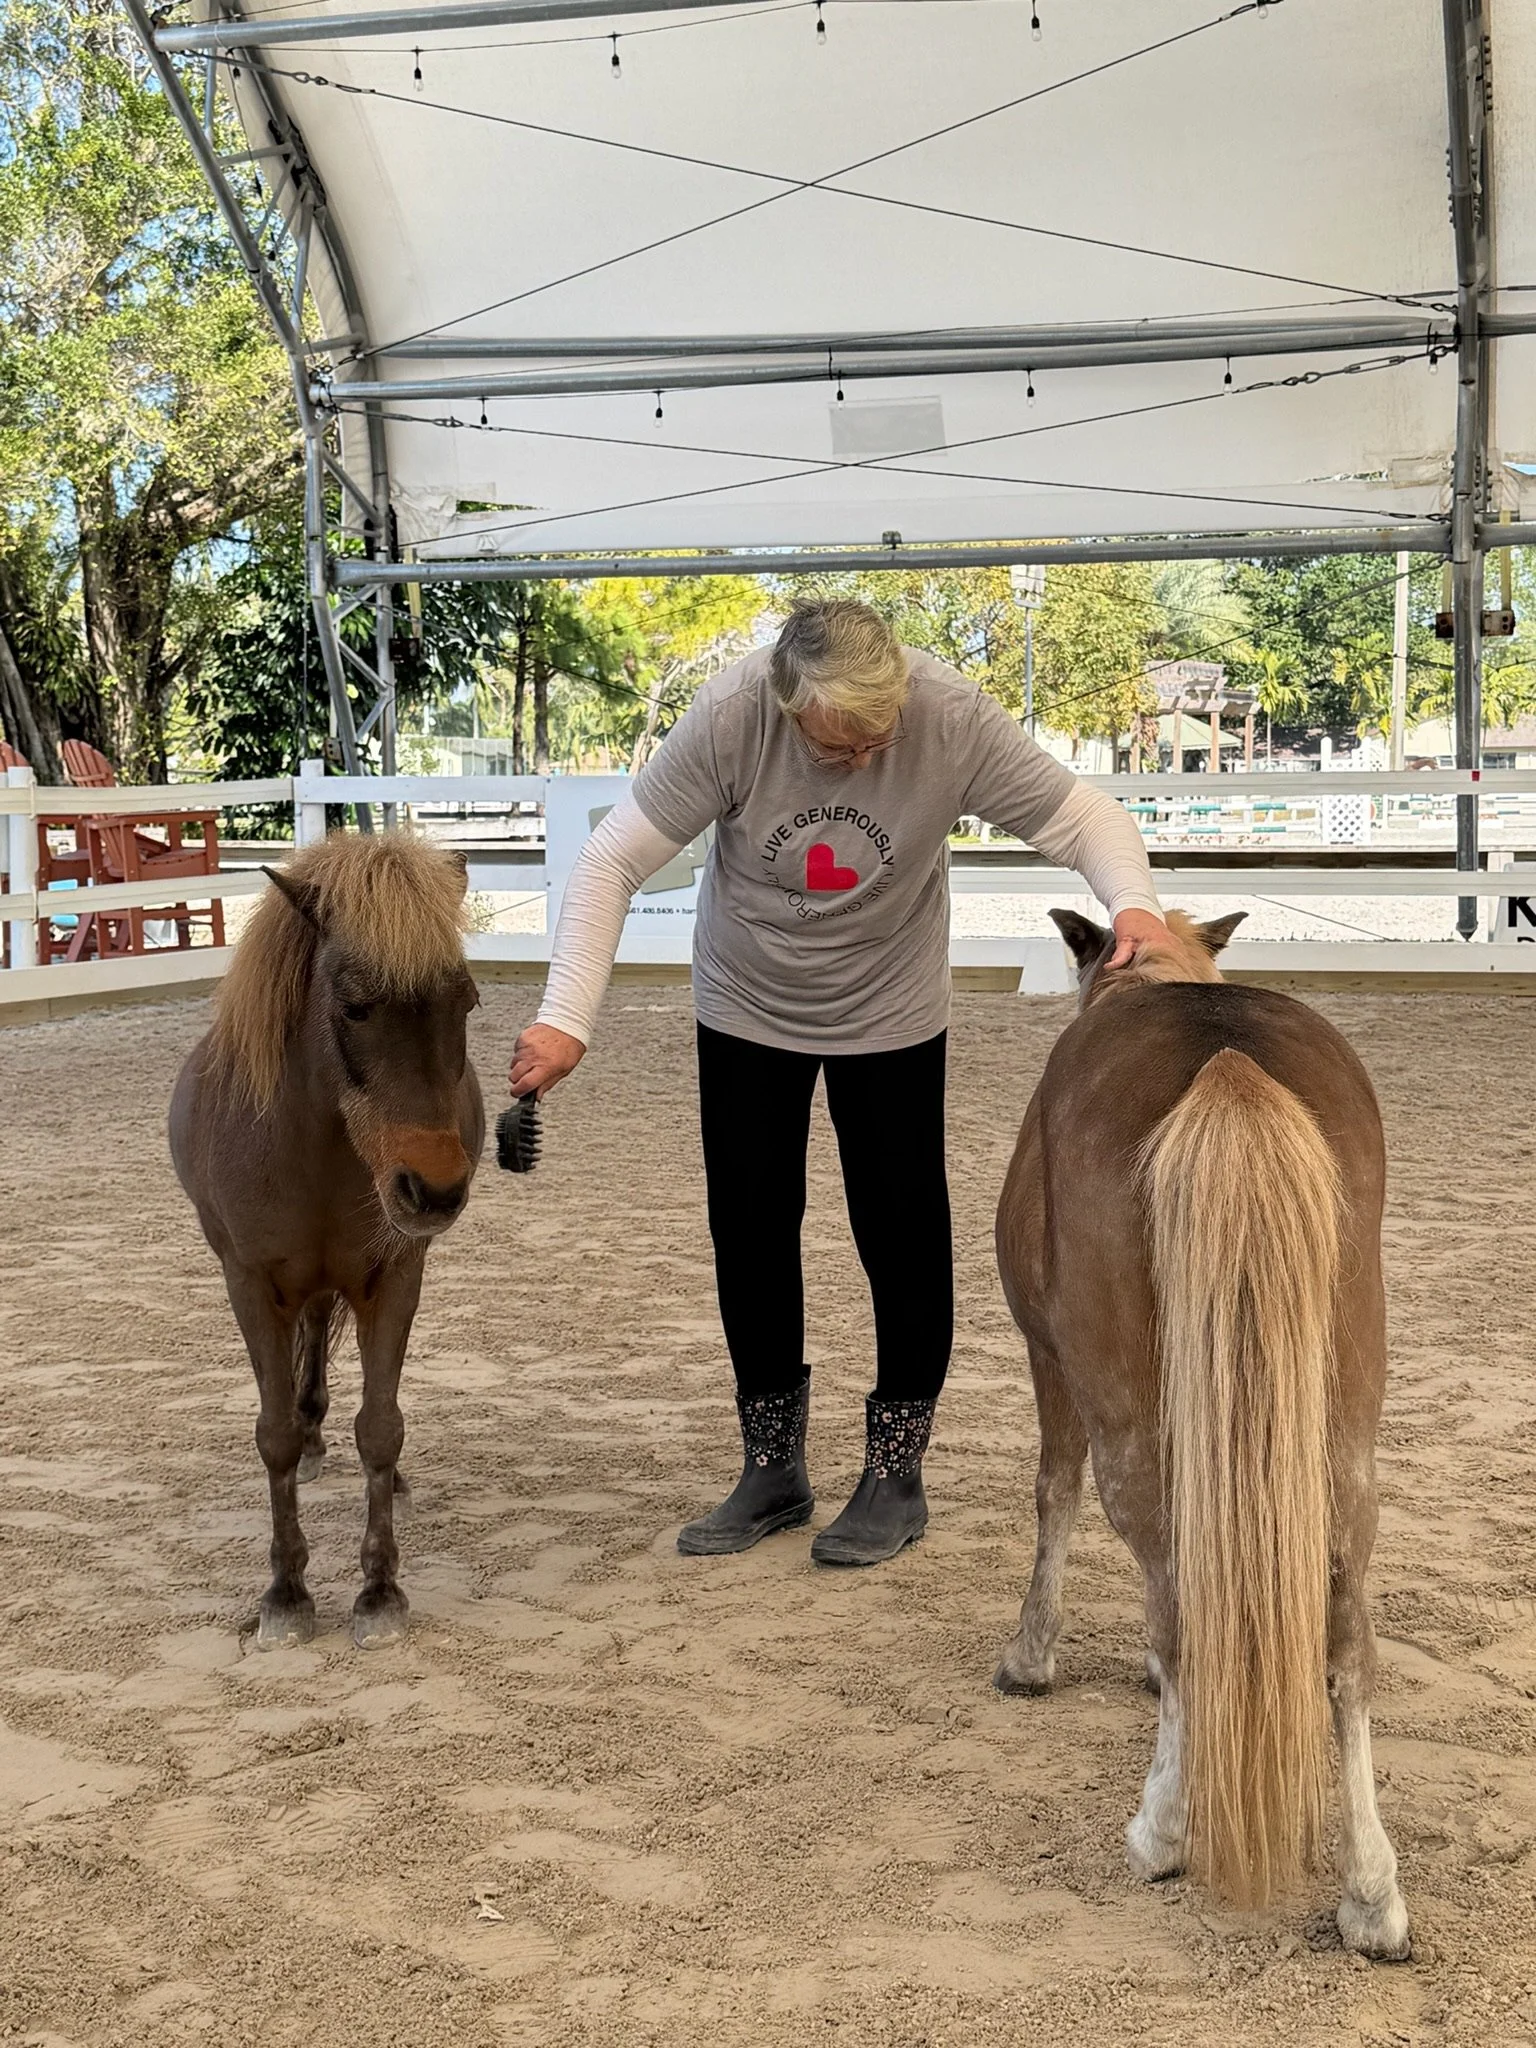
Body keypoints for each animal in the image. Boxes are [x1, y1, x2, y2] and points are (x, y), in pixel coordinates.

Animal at [170, 831, 485, 1650]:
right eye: (355, 1006)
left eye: (466, 1001)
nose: (435, 1190)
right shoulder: (249, 1284)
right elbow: (275, 1434)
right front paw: (285, 1594)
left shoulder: (395, 1276)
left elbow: (381, 1427)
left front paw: (379, 1591)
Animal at [993, 908, 1408, 1958]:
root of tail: (1227, 1064)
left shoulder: (1049, 1358)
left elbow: (1052, 1496)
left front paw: (1030, 1657)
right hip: (1344, 1440)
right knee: (1345, 1644)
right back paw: (1372, 1896)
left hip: (1132, 1424)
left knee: (1178, 1600)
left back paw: (1163, 1832)